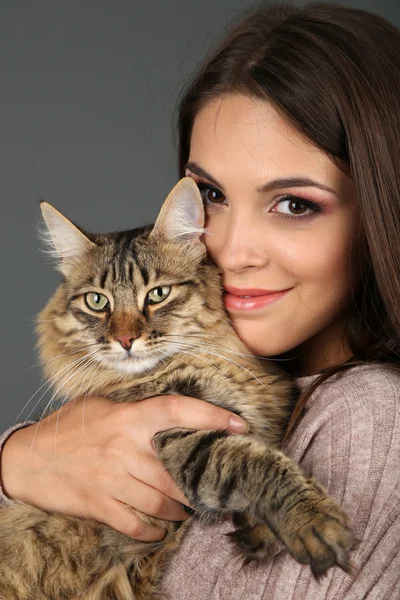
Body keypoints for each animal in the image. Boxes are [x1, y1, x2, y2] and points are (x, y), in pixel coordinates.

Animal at [0, 178, 352, 600]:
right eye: (97, 301)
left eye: (157, 294)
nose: (125, 340)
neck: (206, 362)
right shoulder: (180, 439)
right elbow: (254, 463)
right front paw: (312, 521)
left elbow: (271, 455)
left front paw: (264, 530)